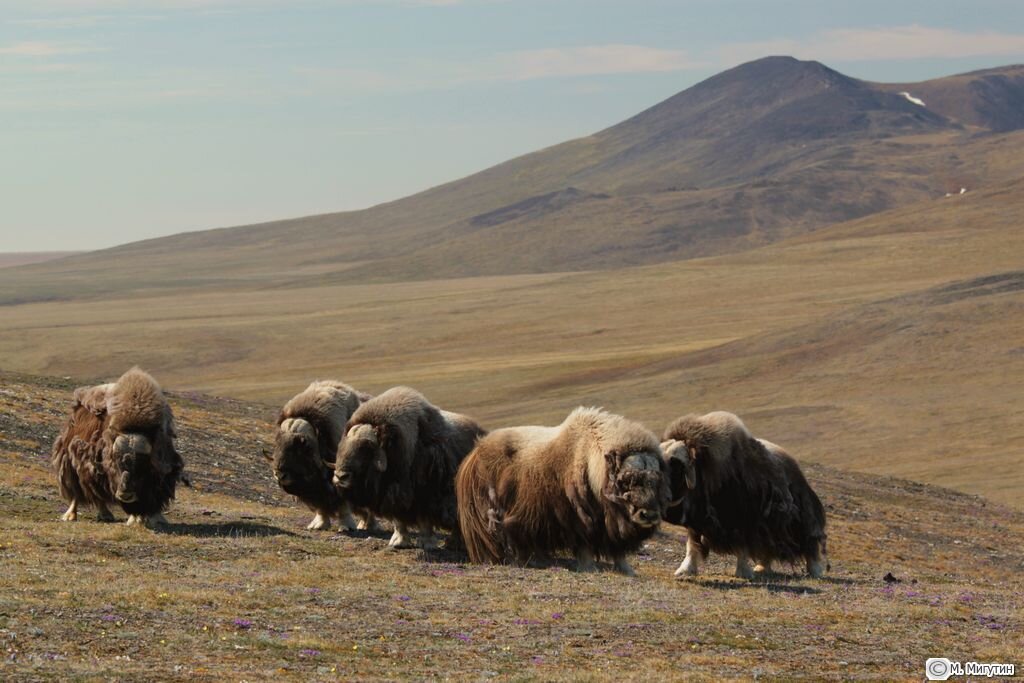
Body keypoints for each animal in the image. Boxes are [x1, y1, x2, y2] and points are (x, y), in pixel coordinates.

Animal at [51, 368, 185, 528]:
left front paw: (152, 518)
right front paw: (136, 519)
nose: (125, 494)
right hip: (72, 462)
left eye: (143, 463)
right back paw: (73, 515)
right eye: (116, 461)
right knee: (80, 490)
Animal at [264, 382, 376, 532]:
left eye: (303, 443)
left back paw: (368, 525)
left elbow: (343, 505)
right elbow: (321, 508)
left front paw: (346, 527)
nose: (280, 474)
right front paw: (318, 525)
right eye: (277, 441)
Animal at [331, 385, 483, 548]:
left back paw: (454, 543)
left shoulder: (422, 494)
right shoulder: (393, 496)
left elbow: (424, 520)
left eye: (367, 447)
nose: (340, 476)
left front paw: (427, 543)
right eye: (343, 445)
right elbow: (398, 521)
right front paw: (398, 542)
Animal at [458, 409, 667, 573]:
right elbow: (585, 544)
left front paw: (626, 569)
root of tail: (475, 453)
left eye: (656, 480)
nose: (648, 515)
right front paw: (588, 567)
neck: (593, 463)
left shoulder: (610, 524)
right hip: (493, 510)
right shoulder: (580, 517)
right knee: (502, 534)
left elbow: (617, 548)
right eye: (626, 480)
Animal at [659, 411, 827, 581]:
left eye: (676, 465)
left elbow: (742, 546)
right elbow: (692, 545)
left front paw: (743, 572)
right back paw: (761, 568)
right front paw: (684, 570)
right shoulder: (696, 521)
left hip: (800, 521)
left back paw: (815, 571)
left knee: (810, 543)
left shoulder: (745, 520)